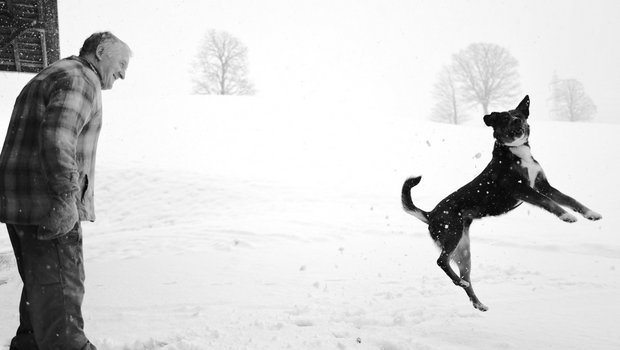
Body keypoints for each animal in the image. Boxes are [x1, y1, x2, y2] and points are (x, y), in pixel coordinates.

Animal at [402, 94, 600, 310]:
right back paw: (460, 283)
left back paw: (477, 302)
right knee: (441, 262)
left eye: (519, 115)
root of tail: (430, 214)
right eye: (505, 118)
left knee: (465, 276)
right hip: (452, 233)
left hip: (463, 249)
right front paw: (566, 216)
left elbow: (569, 199)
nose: (517, 121)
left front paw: (591, 213)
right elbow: (549, 203)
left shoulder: (543, 185)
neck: (516, 151)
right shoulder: (522, 189)